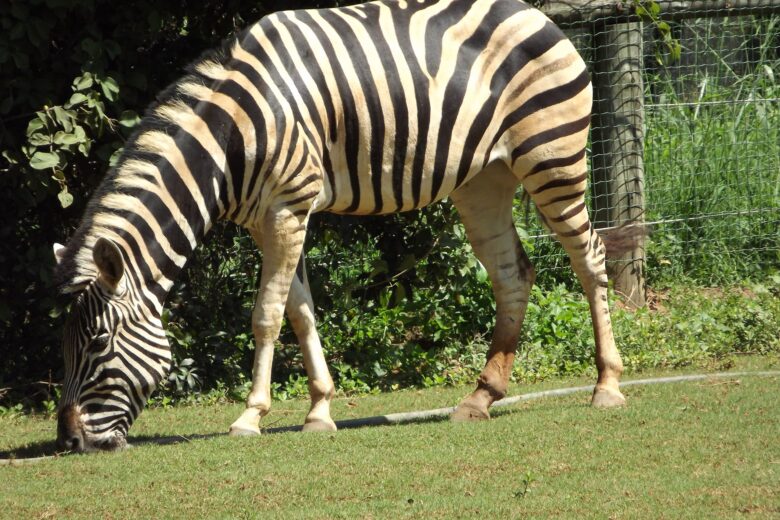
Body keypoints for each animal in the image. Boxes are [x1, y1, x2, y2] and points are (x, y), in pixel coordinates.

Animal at [53, 0, 627, 452]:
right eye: (68, 346)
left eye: (98, 344)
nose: (70, 442)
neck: (229, 142)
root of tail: (536, 13)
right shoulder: (271, 219)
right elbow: (300, 312)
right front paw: (319, 412)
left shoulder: (288, 207)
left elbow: (266, 315)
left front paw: (250, 417)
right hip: (484, 179)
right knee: (513, 275)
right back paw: (481, 397)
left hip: (552, 157)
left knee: (589, 257)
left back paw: (607, 387)